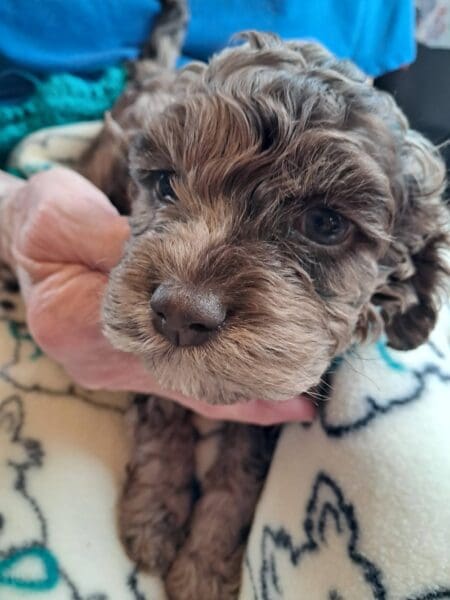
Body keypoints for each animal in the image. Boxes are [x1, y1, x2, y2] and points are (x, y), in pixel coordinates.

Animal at [80, 7, 450, 599]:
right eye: (164, 184)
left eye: (325, 223)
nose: (179, 313)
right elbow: (161, 414)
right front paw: (155, 512)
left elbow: (241, 466)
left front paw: (205, 563)